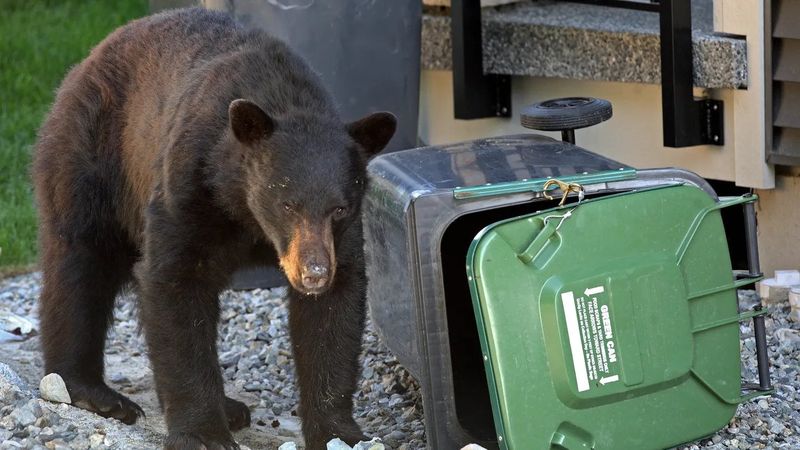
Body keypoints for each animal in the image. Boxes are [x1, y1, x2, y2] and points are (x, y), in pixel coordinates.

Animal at [31, 8, 396, 450]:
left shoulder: (339, 236)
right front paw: (203, 433)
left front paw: (339, 432)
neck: (244, 211)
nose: (314, 274)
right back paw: (90, 392)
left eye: (339, 208)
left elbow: (334, 311)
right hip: (91, 157)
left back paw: (229, 406)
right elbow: (175, 282)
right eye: (287, 204)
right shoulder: (190, 184)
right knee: (80, 262)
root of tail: (87, 59)